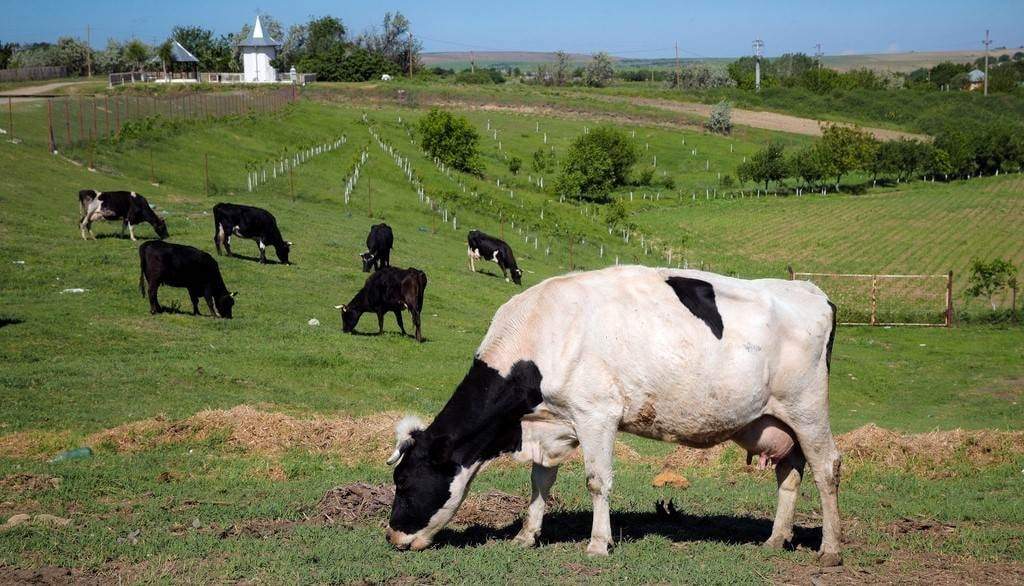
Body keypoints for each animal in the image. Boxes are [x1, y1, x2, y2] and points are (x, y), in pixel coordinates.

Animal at [384, 265, 842, 566]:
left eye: (403, 481)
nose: (391, 536)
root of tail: (812, 292)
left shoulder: (596, 413)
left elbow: (597, 481)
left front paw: (598, 544)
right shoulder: (552, 423)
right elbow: (540, 481)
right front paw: (526, 536)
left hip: (807, 409)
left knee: (826, 468)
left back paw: (831, 549)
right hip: (778, 422)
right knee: (790, 474)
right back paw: (776, 539)